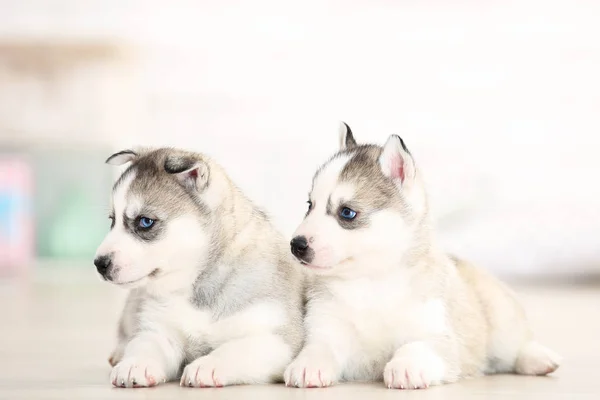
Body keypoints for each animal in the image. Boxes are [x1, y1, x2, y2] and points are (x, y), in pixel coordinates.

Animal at [96, 148, 308, 388]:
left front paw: (207, 365)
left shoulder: (277, 338)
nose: (99, 263)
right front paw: (135, 364)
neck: (195, 287)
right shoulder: (162, 331)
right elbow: (145, 344)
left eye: (145, 221)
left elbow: (233, 349)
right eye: (112, 220)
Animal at [284, 124, 560, 388]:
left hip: (501, 321)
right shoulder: (327, 326)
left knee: (516, 347)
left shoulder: (436, 335)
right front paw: (307, 365)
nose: (296, 245)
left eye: (347, 212)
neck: (370, 282)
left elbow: (415, 345)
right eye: (309, 205)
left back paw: (539, 359)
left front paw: (406, 366)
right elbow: (319, 347)